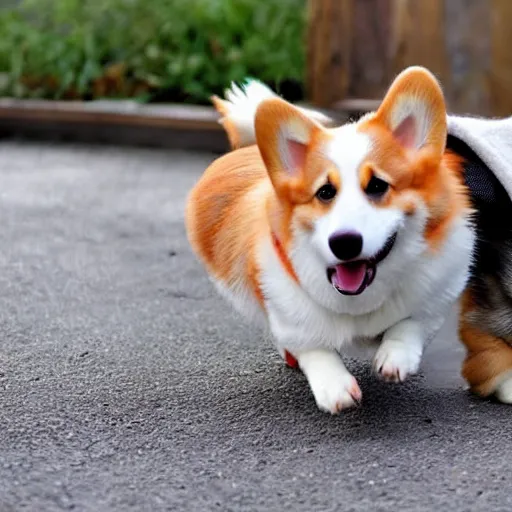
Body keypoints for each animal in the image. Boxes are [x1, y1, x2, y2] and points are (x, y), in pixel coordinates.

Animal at [185, 67, 512, 412]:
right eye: (325, 192)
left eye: (378, 185)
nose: (344, 243)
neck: (361, 301)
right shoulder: (290, 314)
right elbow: (314, 347)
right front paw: (335, 387)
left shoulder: (437, 293)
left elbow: (411, 322)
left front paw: (395, 357)